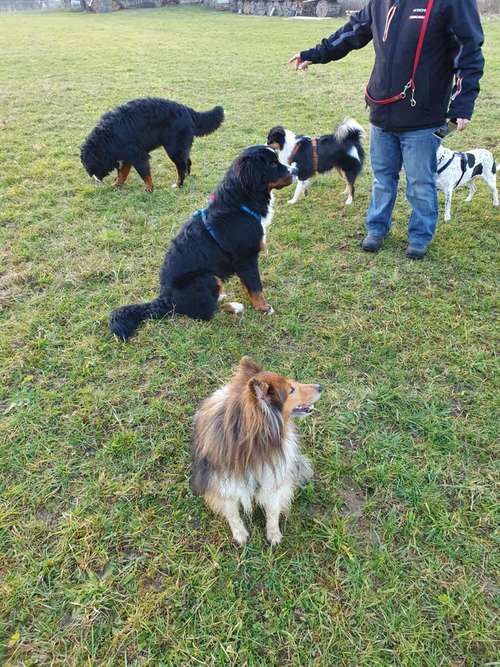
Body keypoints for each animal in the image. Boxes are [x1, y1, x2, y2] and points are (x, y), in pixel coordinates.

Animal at [79, 96, 223, 193]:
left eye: (90, 167)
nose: (95, 179)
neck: (107, 138)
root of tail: (186, 109)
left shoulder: (137, 155)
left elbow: (145, 174)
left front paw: (149, 189)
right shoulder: (126, 157)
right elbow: (122, 174)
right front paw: (116, 185)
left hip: (173, 149)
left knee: (181, 168)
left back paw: (178, 184)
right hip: (180, 148)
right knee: (187, 162)